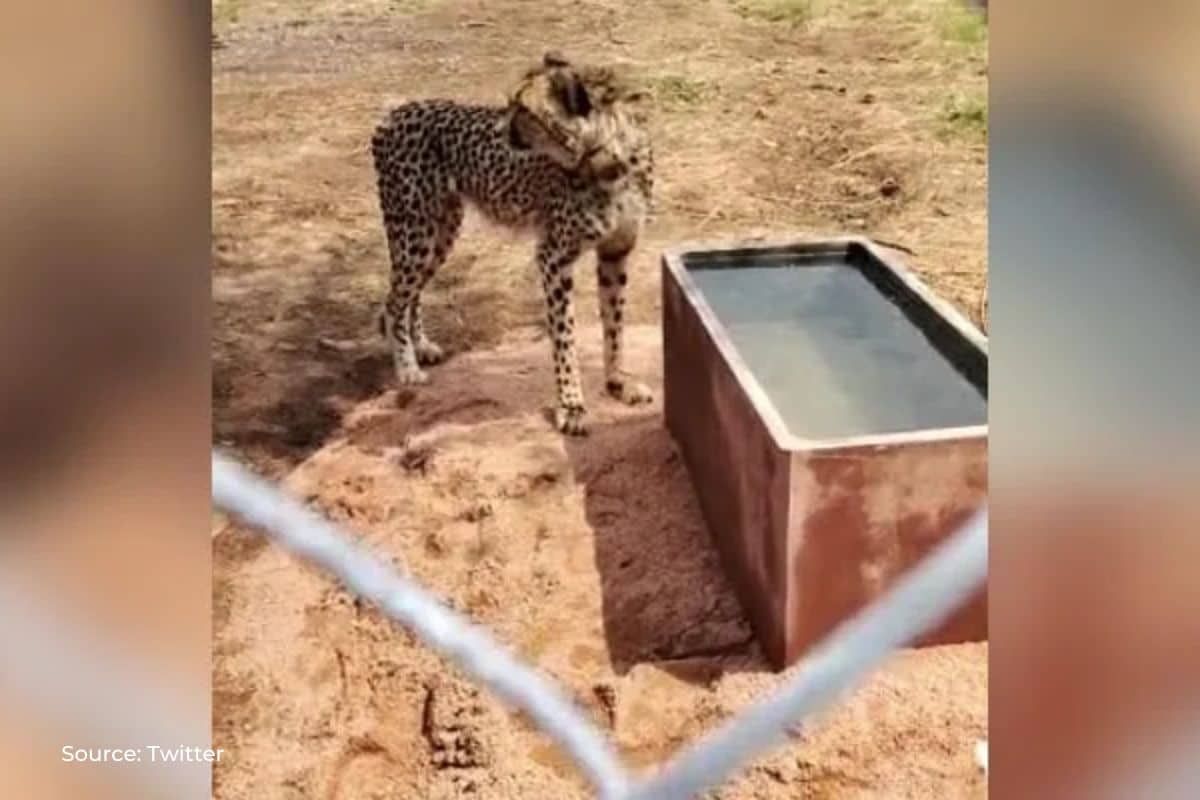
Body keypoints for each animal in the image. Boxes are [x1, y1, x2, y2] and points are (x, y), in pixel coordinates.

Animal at [370, 51, 655, 436]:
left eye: (523, 109)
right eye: (512, 103)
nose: (499, 131)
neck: (606, 157)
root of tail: (397, 111)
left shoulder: (616, 251)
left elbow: (614, 327)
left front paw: (618, 384)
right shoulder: (554, 256)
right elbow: (565, 338)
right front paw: (572, 407)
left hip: (440, 232)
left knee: (408, 295)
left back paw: (422, 347)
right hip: (415, 232)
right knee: (392, 302)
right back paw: (407, 366)